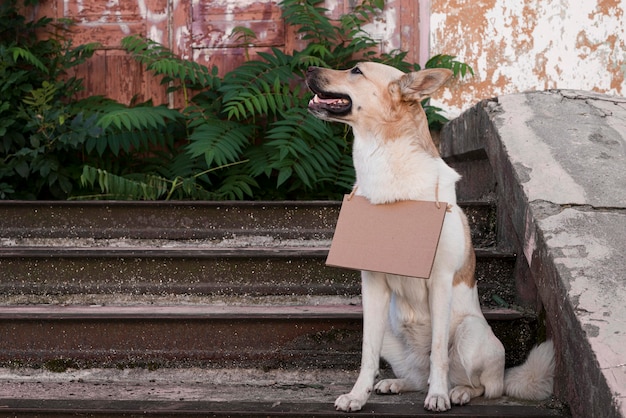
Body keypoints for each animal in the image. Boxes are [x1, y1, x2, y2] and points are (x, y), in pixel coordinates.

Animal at [302, 63, 552, 414]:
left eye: (356, 70)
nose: (308, 67)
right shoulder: (372, 285)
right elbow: (367, 354)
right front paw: (357, 396)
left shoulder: (441, 281)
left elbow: (439, 355)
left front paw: (439, 396)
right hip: (391, 333)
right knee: (417, 376)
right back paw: (396, 383)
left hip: (470, 333)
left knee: (481, 385)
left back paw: (456, 392)